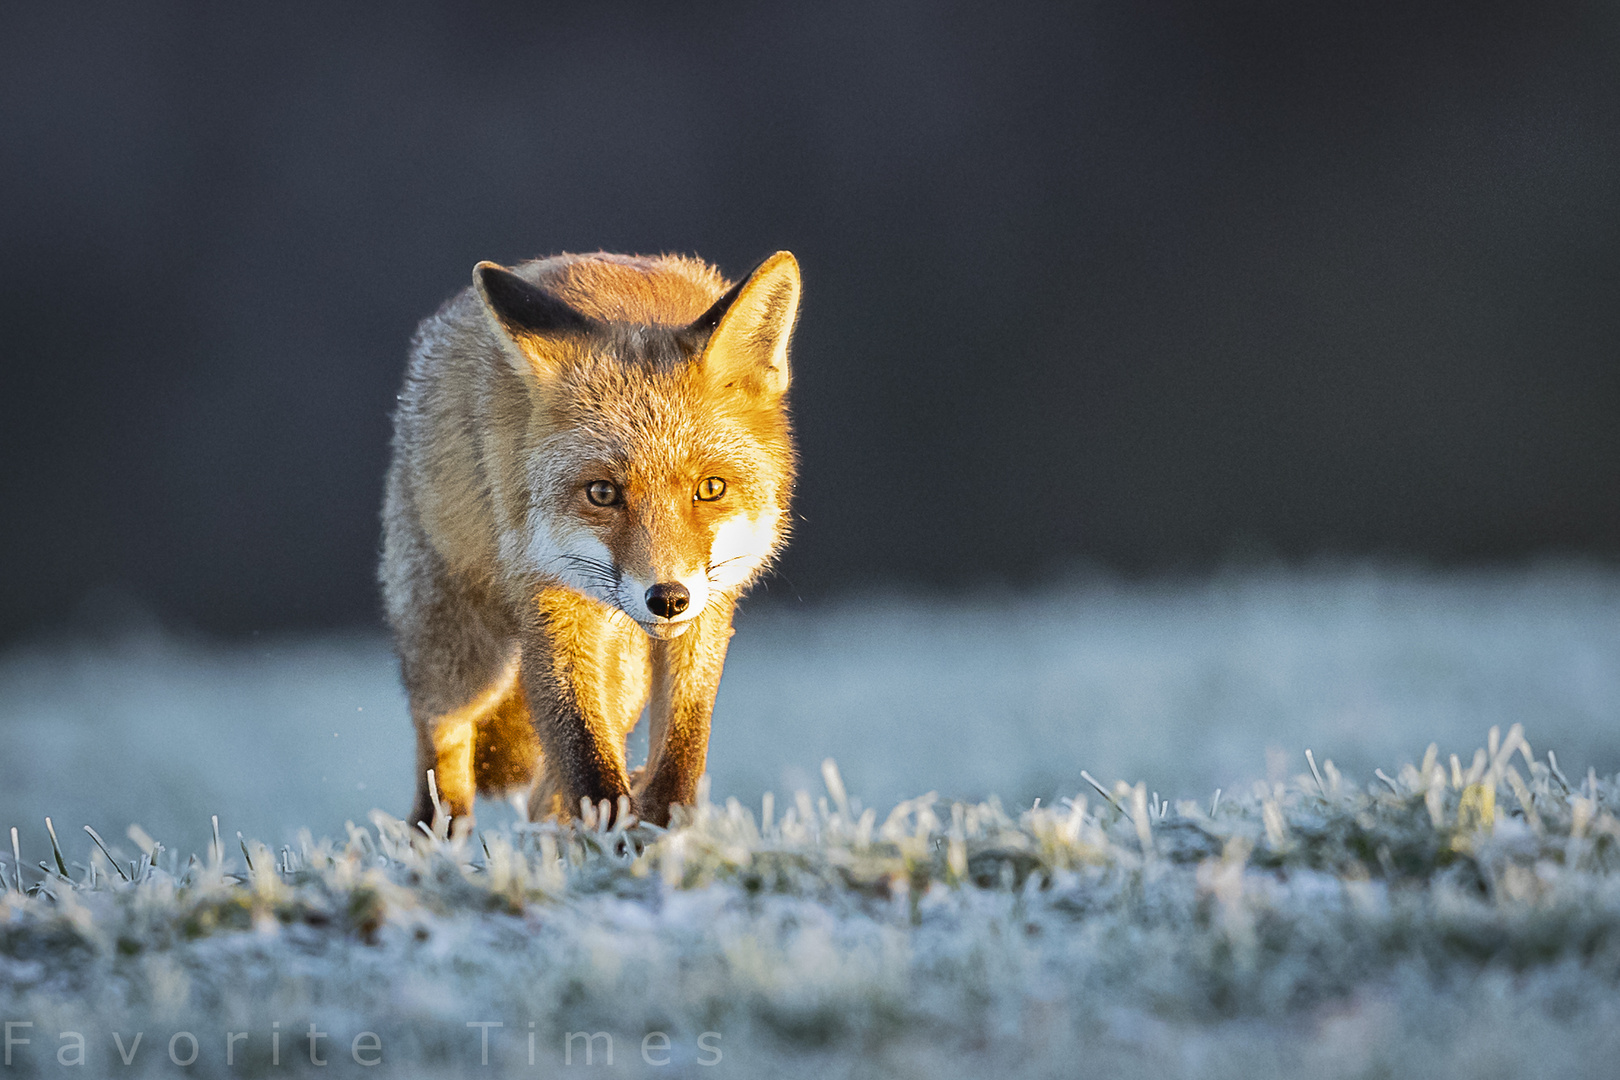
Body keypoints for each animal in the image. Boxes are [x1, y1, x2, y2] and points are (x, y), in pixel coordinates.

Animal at [380, 249, 810, 835]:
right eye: (602, 493)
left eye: (710, 488)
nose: (668, 599)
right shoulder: (548, 599)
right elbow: (586, 755)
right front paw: (616, 838)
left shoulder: (711, 605)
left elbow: (683, 747)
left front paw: (658, 825)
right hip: (465, 665)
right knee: (442, 772)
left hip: (621, 675)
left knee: (543, 797)